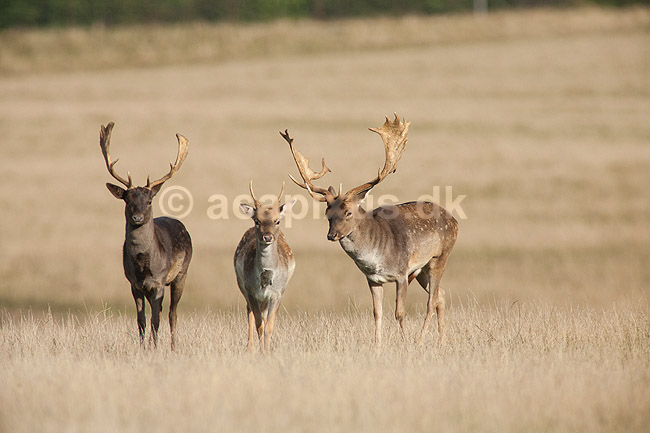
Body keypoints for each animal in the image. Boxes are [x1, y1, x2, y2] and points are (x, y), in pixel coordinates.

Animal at [100, 122, 192, 350]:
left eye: (149, 201)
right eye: (127, 200)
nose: (138, 217)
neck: (143, 265)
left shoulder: (158, 282)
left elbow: (155, 320)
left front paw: (155, 347)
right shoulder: (134, 284)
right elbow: (141, 320)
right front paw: (144, 347)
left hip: (181, 274)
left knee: (172, 313)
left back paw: (174, 346)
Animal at [234, 181, 296, 353]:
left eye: (277, 221)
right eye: (257, 221)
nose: (267, 237)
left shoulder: (277, 293)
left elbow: (269, 327)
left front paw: (267, 352)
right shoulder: (251, 292)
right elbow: (259, 325)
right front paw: (261, 351)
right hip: (242, 286)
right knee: (249, 313)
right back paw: (250, 347)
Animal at [281, 114, 458, 347]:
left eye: (348, 212)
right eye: (327, 212)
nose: (331, 235)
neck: (375, 258)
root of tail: (455, 221)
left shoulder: (401, 273)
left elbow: (399, 313)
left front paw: (404, 342)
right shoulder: (373, 279)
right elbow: (377, 313)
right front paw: (377, 346)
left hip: (440, 257)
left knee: (431, 301)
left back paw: (420, 340)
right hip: (422, 269)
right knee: (441, 295)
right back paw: (443, 339)